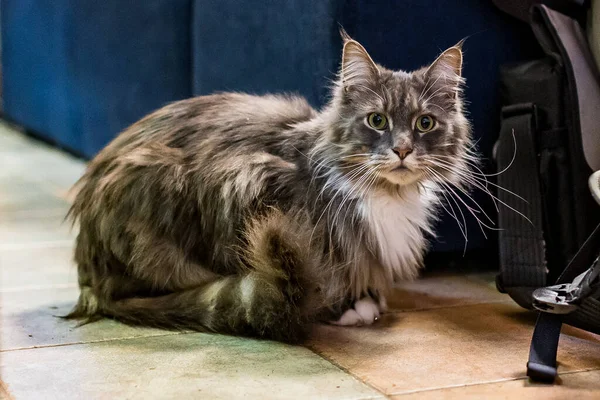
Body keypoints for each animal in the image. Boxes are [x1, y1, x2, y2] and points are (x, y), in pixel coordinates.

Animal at [65, 32, 476, 342]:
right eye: (377, 120)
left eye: (425, 123)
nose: (403, 149)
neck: (384, 195)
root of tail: (90, 279)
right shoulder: (254, 183)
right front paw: (350, 307)